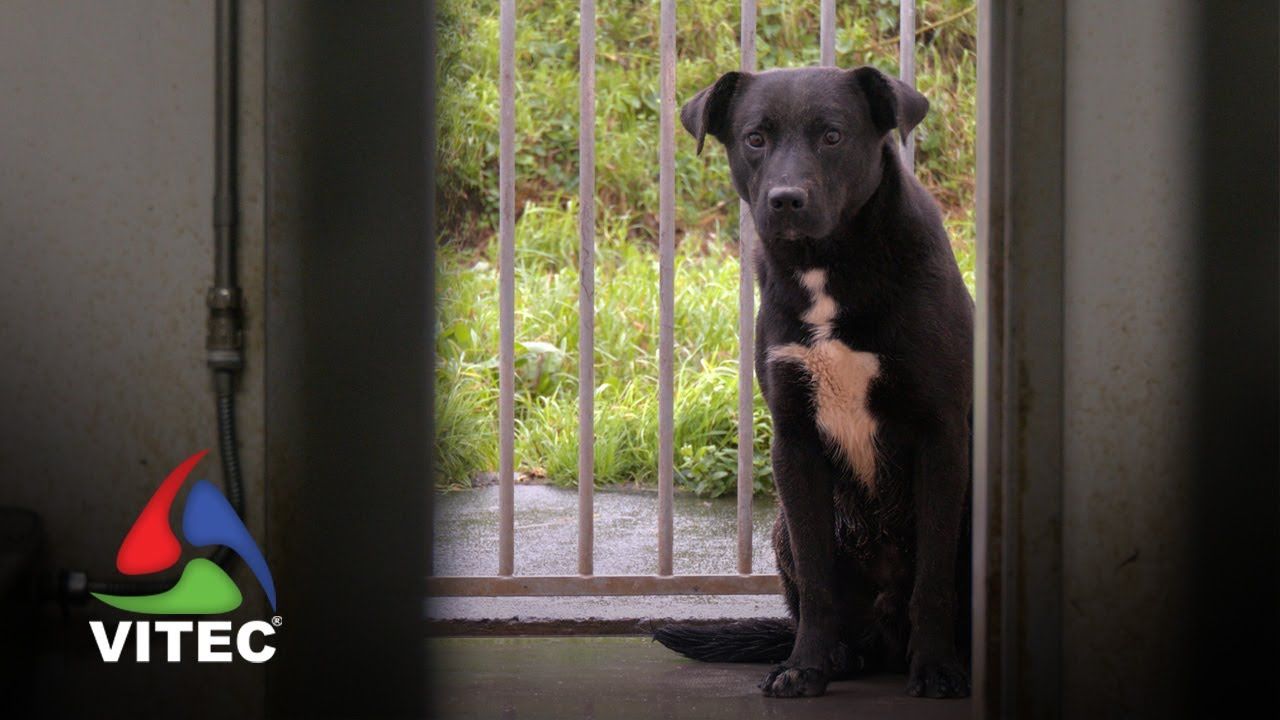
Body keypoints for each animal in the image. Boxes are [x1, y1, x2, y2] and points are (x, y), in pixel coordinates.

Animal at [660, 65, 967, 696]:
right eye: (755, 138)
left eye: (832, 135)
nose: (785, 200)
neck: (827, 267)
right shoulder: (795, 442)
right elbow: (818, 578)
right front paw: (805, 666)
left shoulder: (941, 436)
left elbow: (934, 578)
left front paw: (936, 668)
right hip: (780, 528)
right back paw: (838, 656)